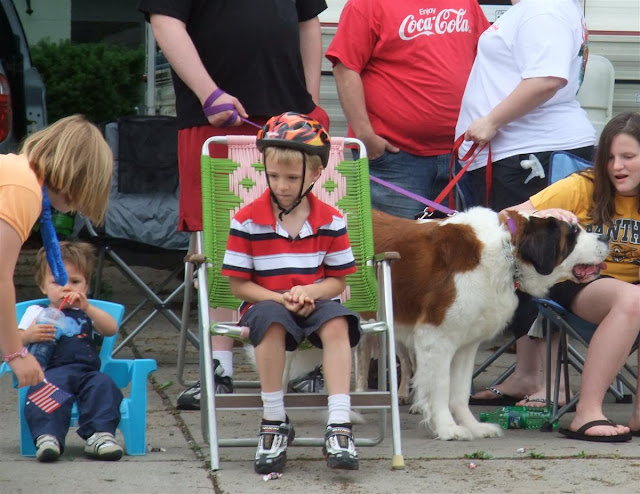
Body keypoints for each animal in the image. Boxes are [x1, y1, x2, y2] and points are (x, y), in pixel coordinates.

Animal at [372, 206, 608, 440]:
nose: (605, 237)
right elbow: (440, 386)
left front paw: (473, 426)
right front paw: (447, 428)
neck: (507, 249)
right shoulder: (436, 336)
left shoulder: (466, 343)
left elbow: (460, 391)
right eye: (574, 233)